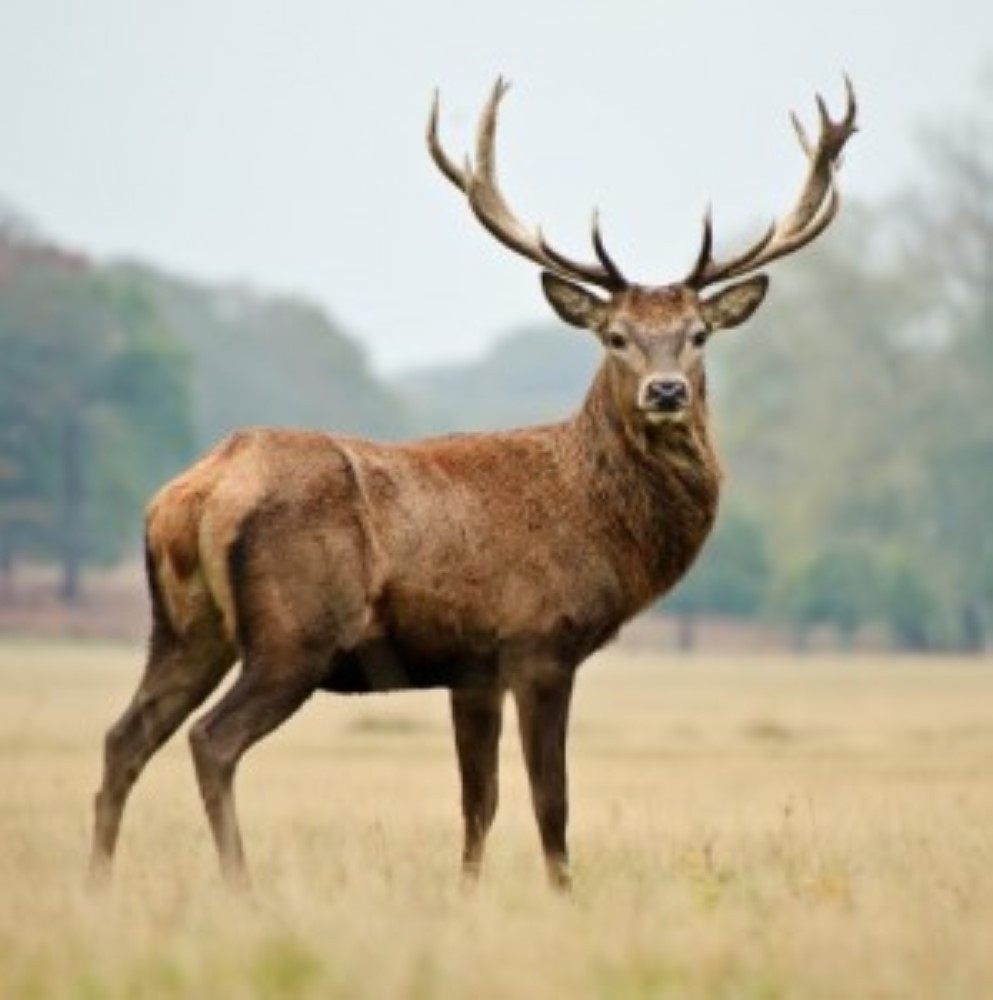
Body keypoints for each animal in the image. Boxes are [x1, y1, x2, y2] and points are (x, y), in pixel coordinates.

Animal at [89, 78, 857, 892]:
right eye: (614, 336)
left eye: (698, 334)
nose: (667, 390)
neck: (600, 525)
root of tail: (194, 493)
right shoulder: (539, 640)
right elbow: (550, 800)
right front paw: (562, 894)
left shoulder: (472, 666)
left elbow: (477, 802)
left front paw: (466, 893)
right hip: (294, 633)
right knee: (211, 740)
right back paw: (240, 887)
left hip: (184, 627)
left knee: (123, 737)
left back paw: (97, 884)